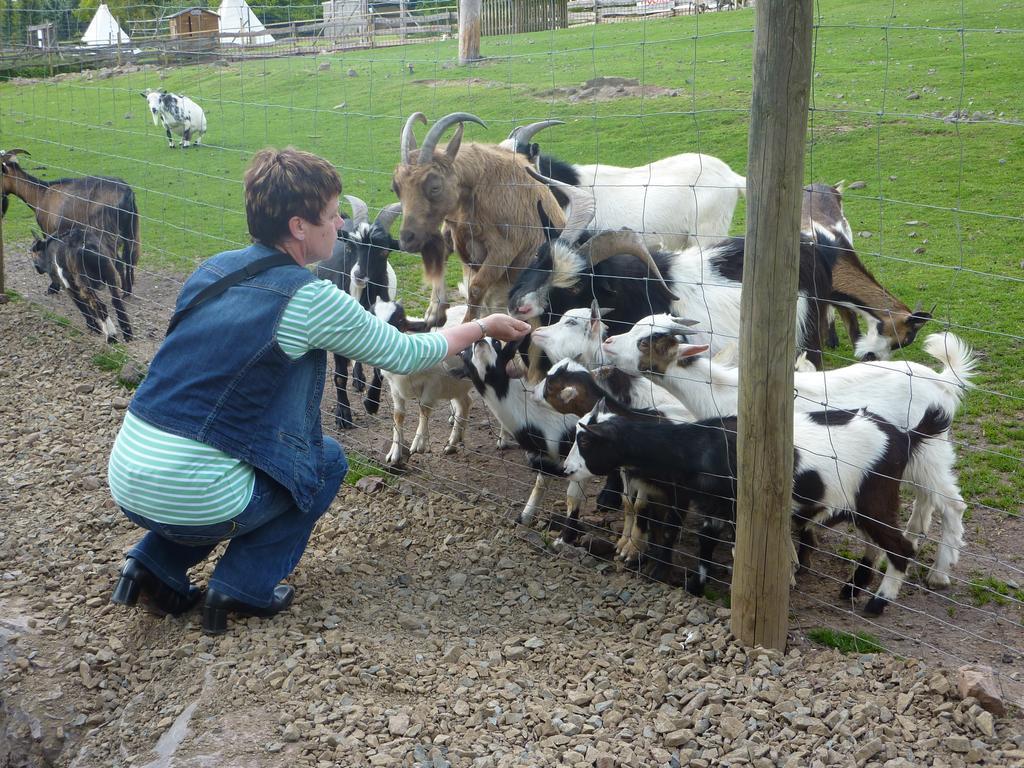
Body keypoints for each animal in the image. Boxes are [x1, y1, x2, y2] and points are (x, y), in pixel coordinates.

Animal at [317, 195, 401, 430]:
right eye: (350, 247)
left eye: (383, 250)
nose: (359, 275)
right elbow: (339, 375)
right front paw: (343, 415)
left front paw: (371, 403)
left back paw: (359, 378)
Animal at [372, 301, 475, 468]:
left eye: (399, 320)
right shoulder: (395, 387)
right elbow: (398, 416)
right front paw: (394, 454)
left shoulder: (433, 382)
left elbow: (424, 409)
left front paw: (419, 444)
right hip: (456, 384)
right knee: (464, 404)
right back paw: (452, 444)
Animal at [391, 109, 569, 325]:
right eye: (396, 187)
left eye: (435, 187)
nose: (407, 239)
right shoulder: (452, 231)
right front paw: (434, 311)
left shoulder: (503, 250)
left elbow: (476, 287)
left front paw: (468, 324)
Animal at [561, 397, 950, 614]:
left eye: (586, 441)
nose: (565, 469)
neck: (701, 446)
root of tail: (904, 437)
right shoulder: (715, 508)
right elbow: (705, 546)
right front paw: (695, 586)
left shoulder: (734, 509)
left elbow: (728, 552)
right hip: (867, 503)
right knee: (878, 543)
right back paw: (853, 588)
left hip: (875, 498)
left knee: (901, 548)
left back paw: (877, 603)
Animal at [598, 313, 974, 589]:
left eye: (646, 341)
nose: (608, 342)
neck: (723, 393)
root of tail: (942, 381)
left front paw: (786, 569)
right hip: (915, 458)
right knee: (925, 499)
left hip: (931, 452)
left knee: (953, 504)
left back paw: (939, 573)